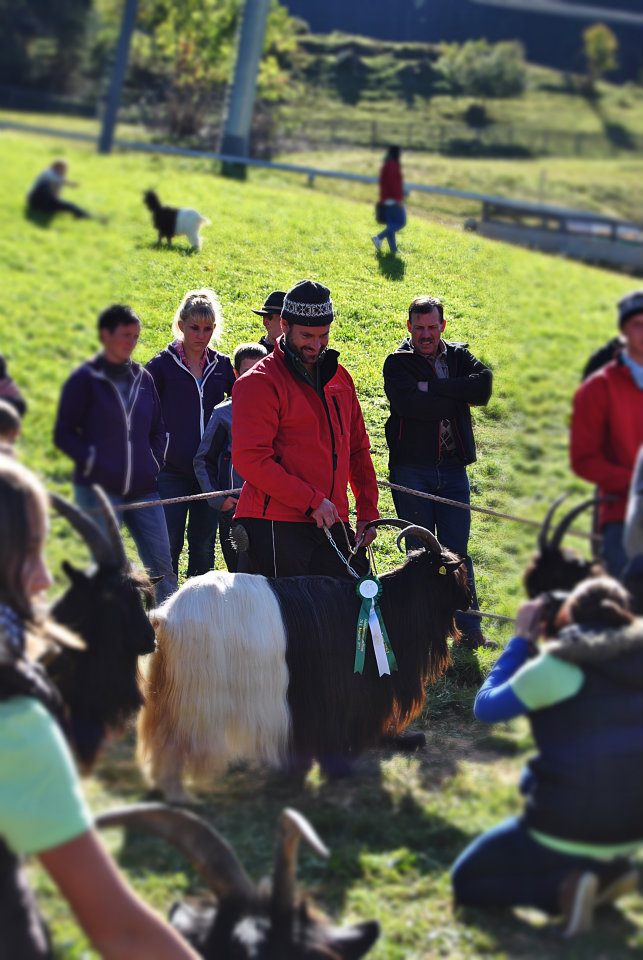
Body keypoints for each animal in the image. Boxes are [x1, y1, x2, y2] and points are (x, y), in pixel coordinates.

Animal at [137, 520, 468, 800]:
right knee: (176, 747)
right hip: (197, 700)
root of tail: (166, 617)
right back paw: (180, 795)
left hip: (171, 696)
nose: (468, 602)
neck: (385, 607)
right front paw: (333, 770)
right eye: (454, 573)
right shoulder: (338, 697)